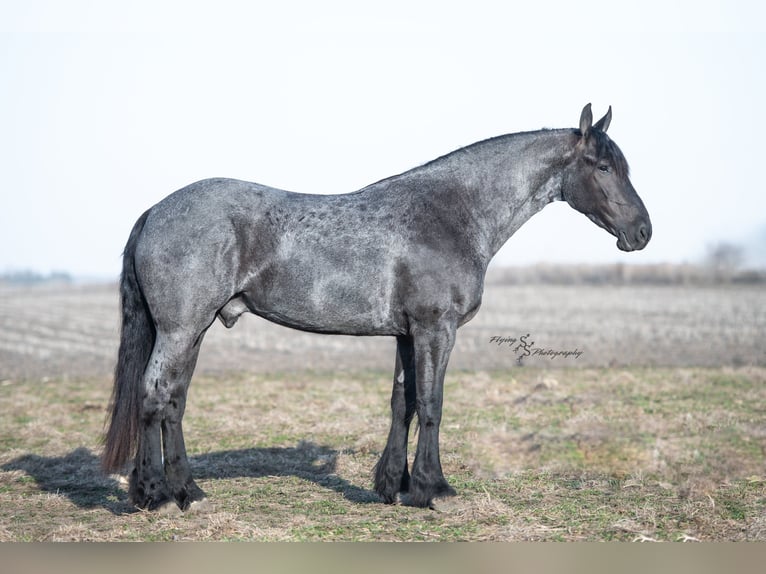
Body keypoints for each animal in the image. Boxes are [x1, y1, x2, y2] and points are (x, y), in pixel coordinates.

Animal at [102, 104, 651, 512]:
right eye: (604, 167)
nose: (642, 232)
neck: (452, 213)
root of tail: (155, 211)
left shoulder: (407, 334)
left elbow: (402, 403)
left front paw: (394, 487)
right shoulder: (436, 329)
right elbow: (431, 403)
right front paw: (436, 489)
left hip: (192, 332)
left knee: (174, 401)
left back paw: (186, 492)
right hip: (180, 329)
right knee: (154, 395)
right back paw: (157, 496)